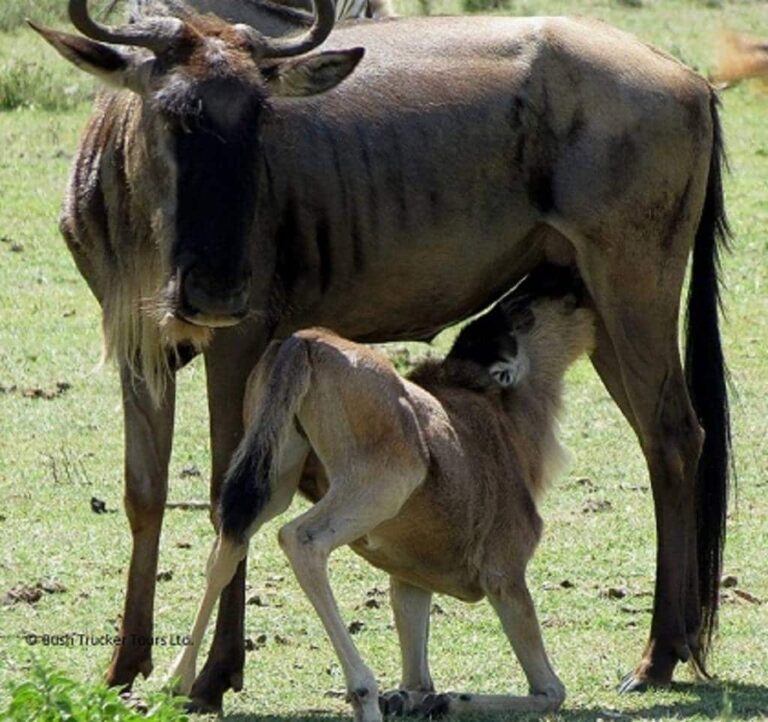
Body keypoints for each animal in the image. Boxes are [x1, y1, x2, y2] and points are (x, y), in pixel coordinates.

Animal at [169, 264, 594, 720]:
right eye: (522, 313)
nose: (569, 279)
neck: (498, 414)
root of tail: (305, 343)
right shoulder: (505, 578)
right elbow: (550, 689)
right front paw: (448, 700)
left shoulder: (410, 584)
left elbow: (417, 678)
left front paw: (416, 698)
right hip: (383, 484)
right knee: (300, 539)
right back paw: (364, 692)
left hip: (274, 479)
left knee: (230, 541)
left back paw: (177, 680)